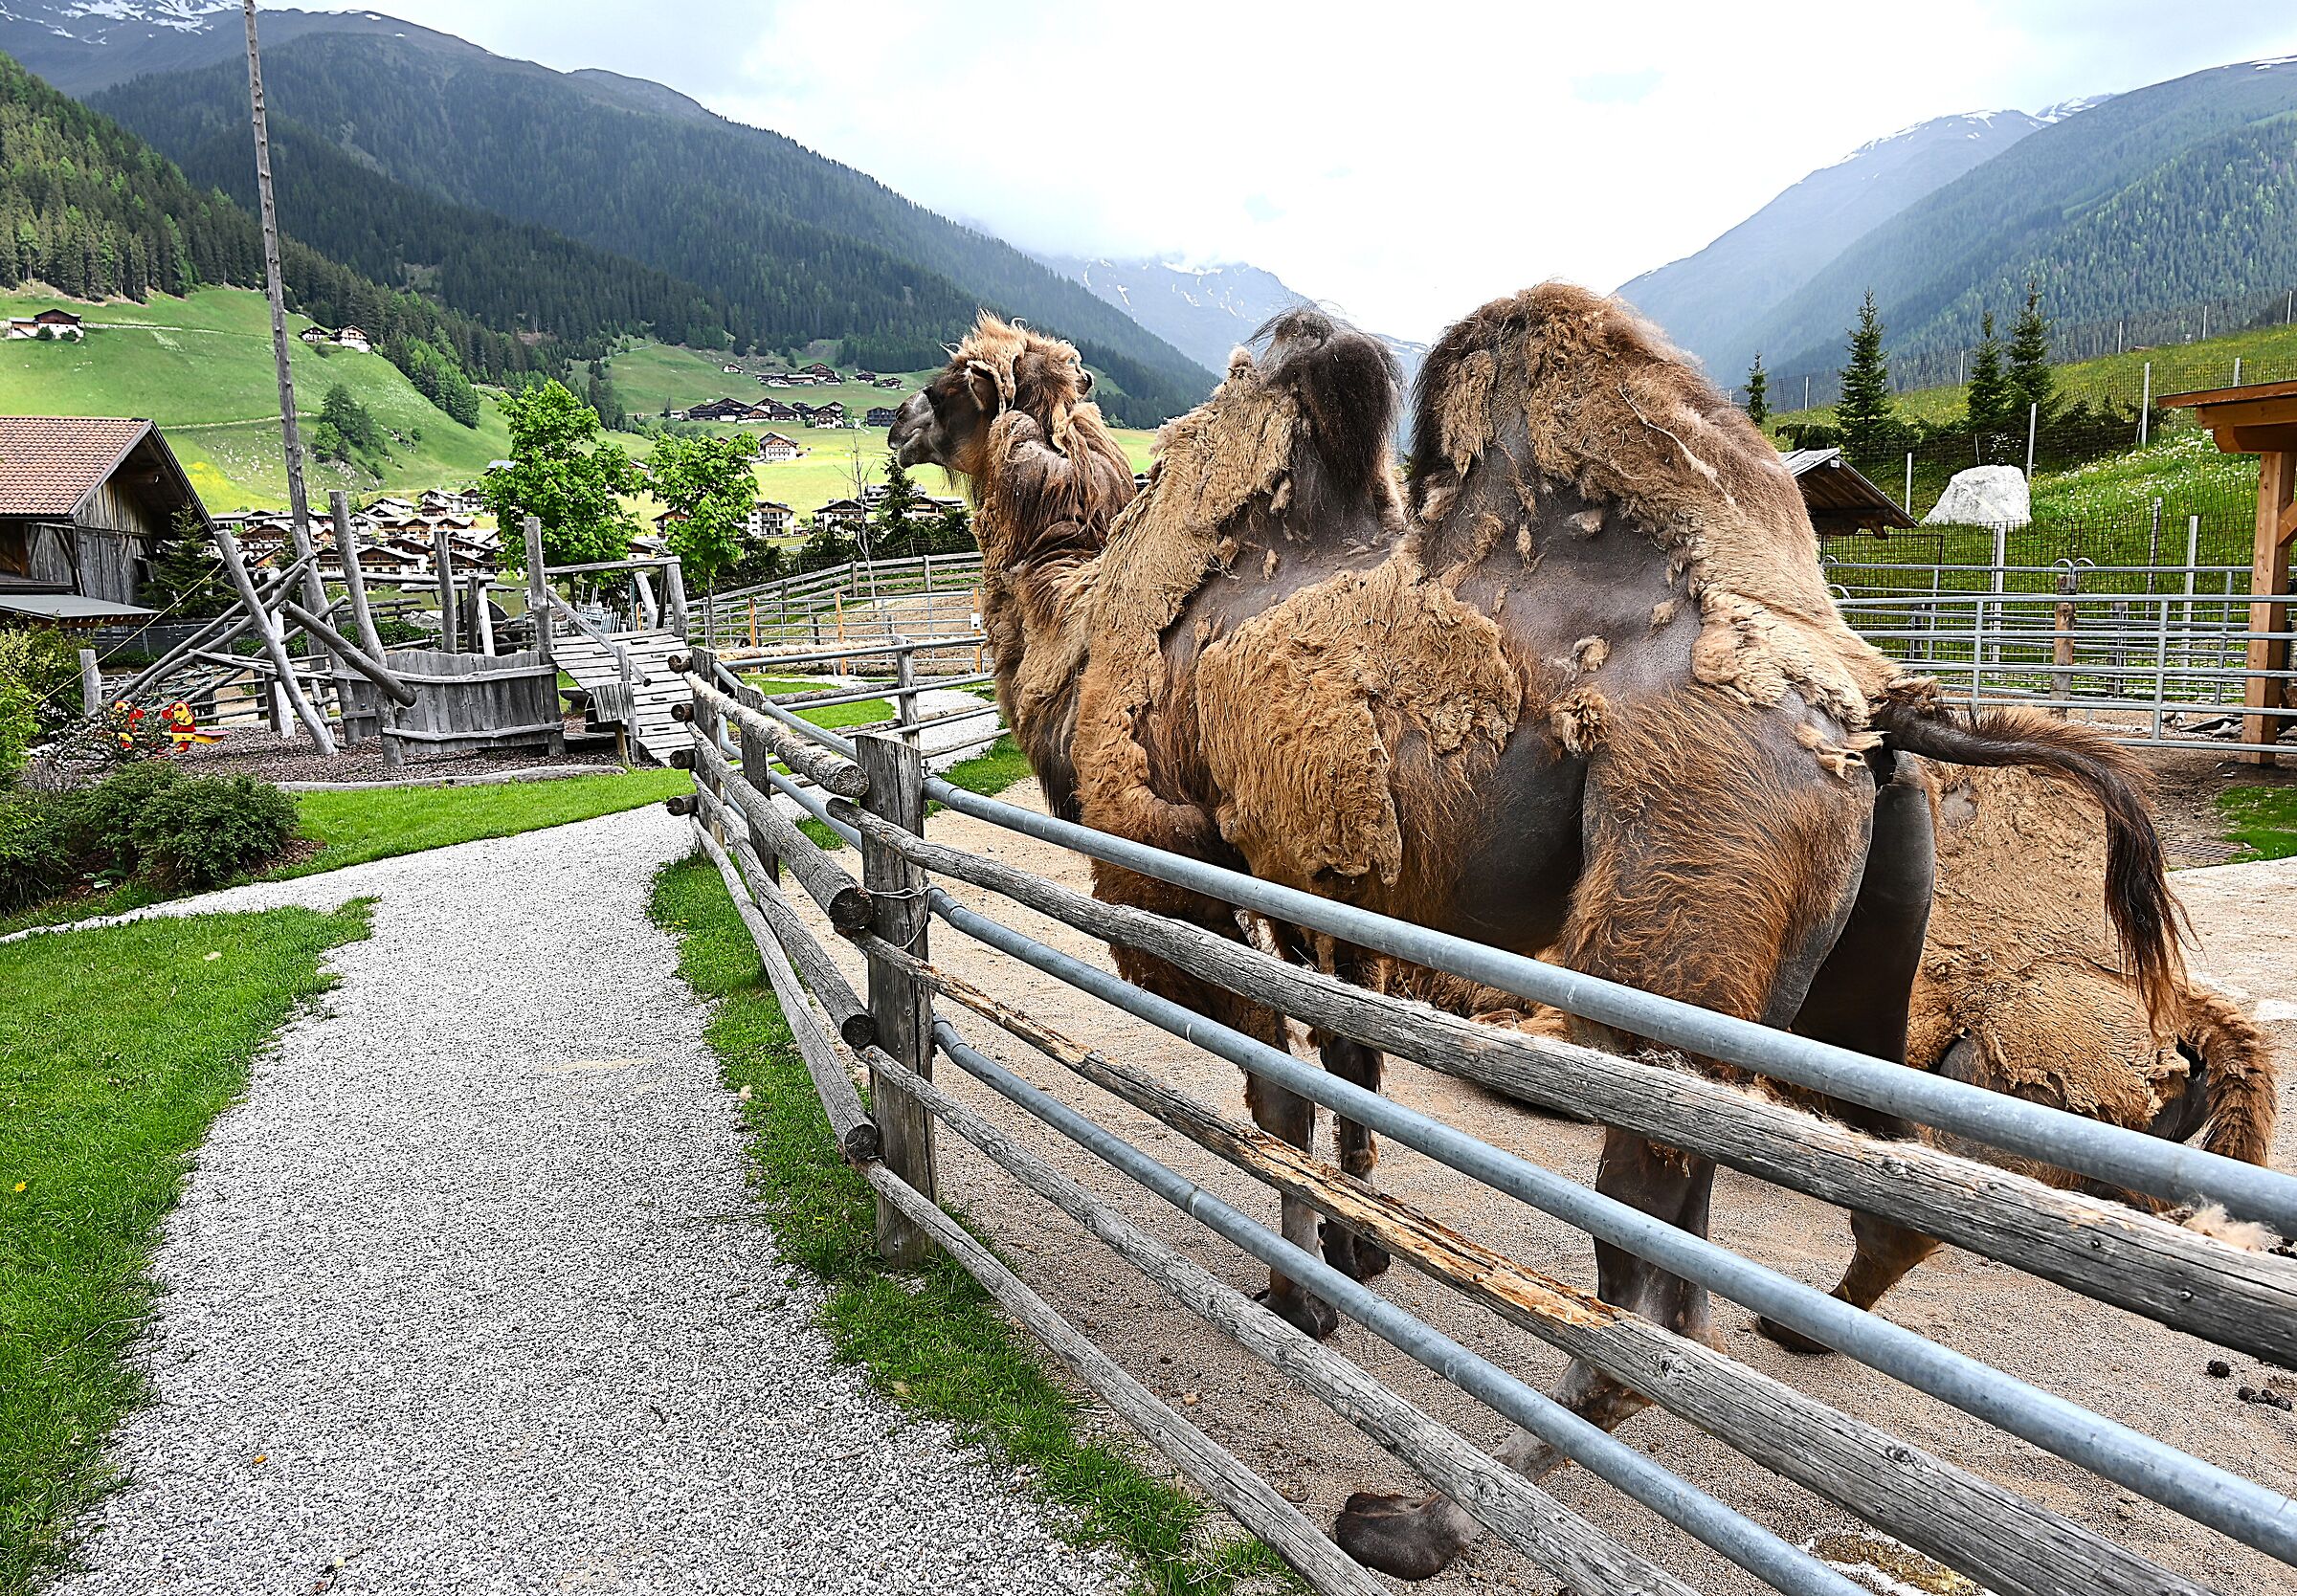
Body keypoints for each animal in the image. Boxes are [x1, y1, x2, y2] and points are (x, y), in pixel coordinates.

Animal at [888, 288, 2182, 1580]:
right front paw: (1360, 1249)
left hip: (1675, 932)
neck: (1087, 612)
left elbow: (1275, 1091)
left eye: (949, 385)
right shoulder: (1328, 885)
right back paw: (1799, 1330)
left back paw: (1416, 1519)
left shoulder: (1169, 867)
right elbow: (1347, 1063)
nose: (898, 427)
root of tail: (1874, 711)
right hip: (1849, 968)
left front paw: (1300, 1297)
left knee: (1651, 1303)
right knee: (1884, 1164)